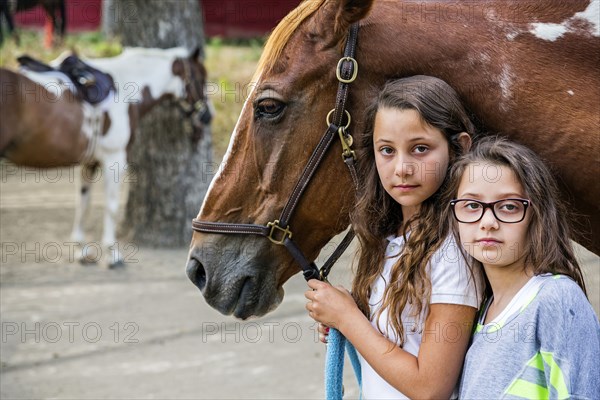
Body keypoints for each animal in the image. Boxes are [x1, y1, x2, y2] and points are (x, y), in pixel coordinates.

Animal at [0, 46, 211, 266]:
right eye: (201, 78)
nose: (207, 116)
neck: (124, 91)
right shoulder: (114, 160)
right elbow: (111, 206)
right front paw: (113, 254)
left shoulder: (89, 163)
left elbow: (83, 203)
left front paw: (82, 250)